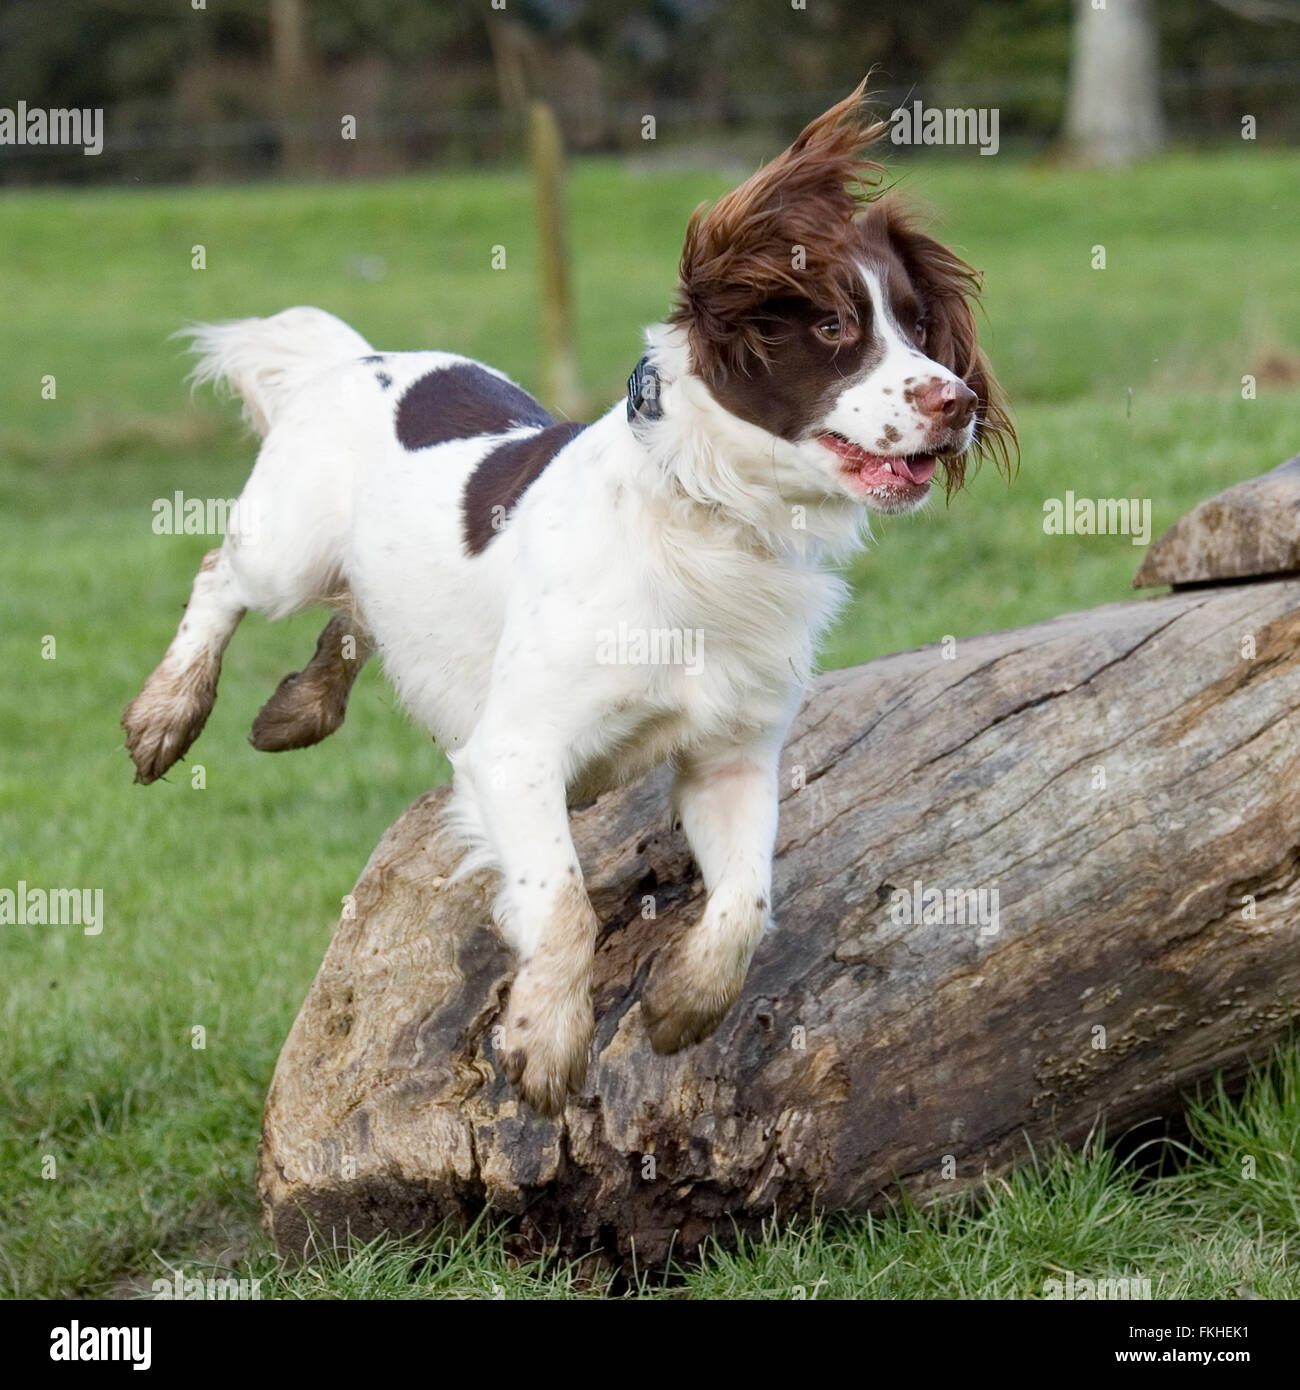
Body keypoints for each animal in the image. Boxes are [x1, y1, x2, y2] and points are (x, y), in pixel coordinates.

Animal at [122, 78, 1017, 1117]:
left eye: (918, 325)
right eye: (834, 327)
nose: (958, 402)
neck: (709, 519)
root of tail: (360, 359)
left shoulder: (731, 755)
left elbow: (748, 901)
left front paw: (682, 1006)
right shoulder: (514, 753)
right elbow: (560, 906)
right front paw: (546, 1041)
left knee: (358, 618)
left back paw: (298, 708)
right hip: (288, 549)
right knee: (221, 578)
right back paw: (168, 712)